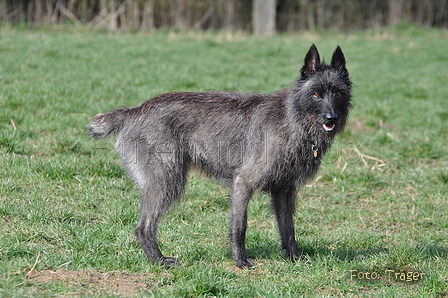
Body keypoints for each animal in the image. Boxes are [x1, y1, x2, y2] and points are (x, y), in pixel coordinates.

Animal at [88, 44, 354, 268]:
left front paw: (295, 258)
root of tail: (135, 111)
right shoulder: (243, 183)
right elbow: (240, 226)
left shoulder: (283, 191)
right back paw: (159, 261)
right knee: (143, 228)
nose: (331, 118)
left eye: (338, 94)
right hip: (167, 182)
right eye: (316, 94)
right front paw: (240, 261)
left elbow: (288, 228)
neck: (293, 119)